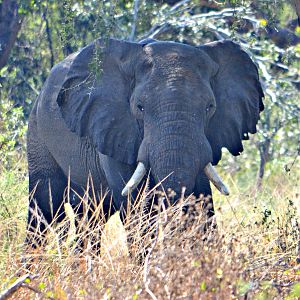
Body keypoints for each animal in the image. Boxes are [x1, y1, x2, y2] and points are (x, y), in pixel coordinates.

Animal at [26, 37, 264, 246]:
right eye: (139, 107)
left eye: (210, 107)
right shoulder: (114, 128)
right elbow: (137, 209)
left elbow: (204, 199)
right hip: (37, 133)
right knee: (43, 209)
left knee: (90, 218)